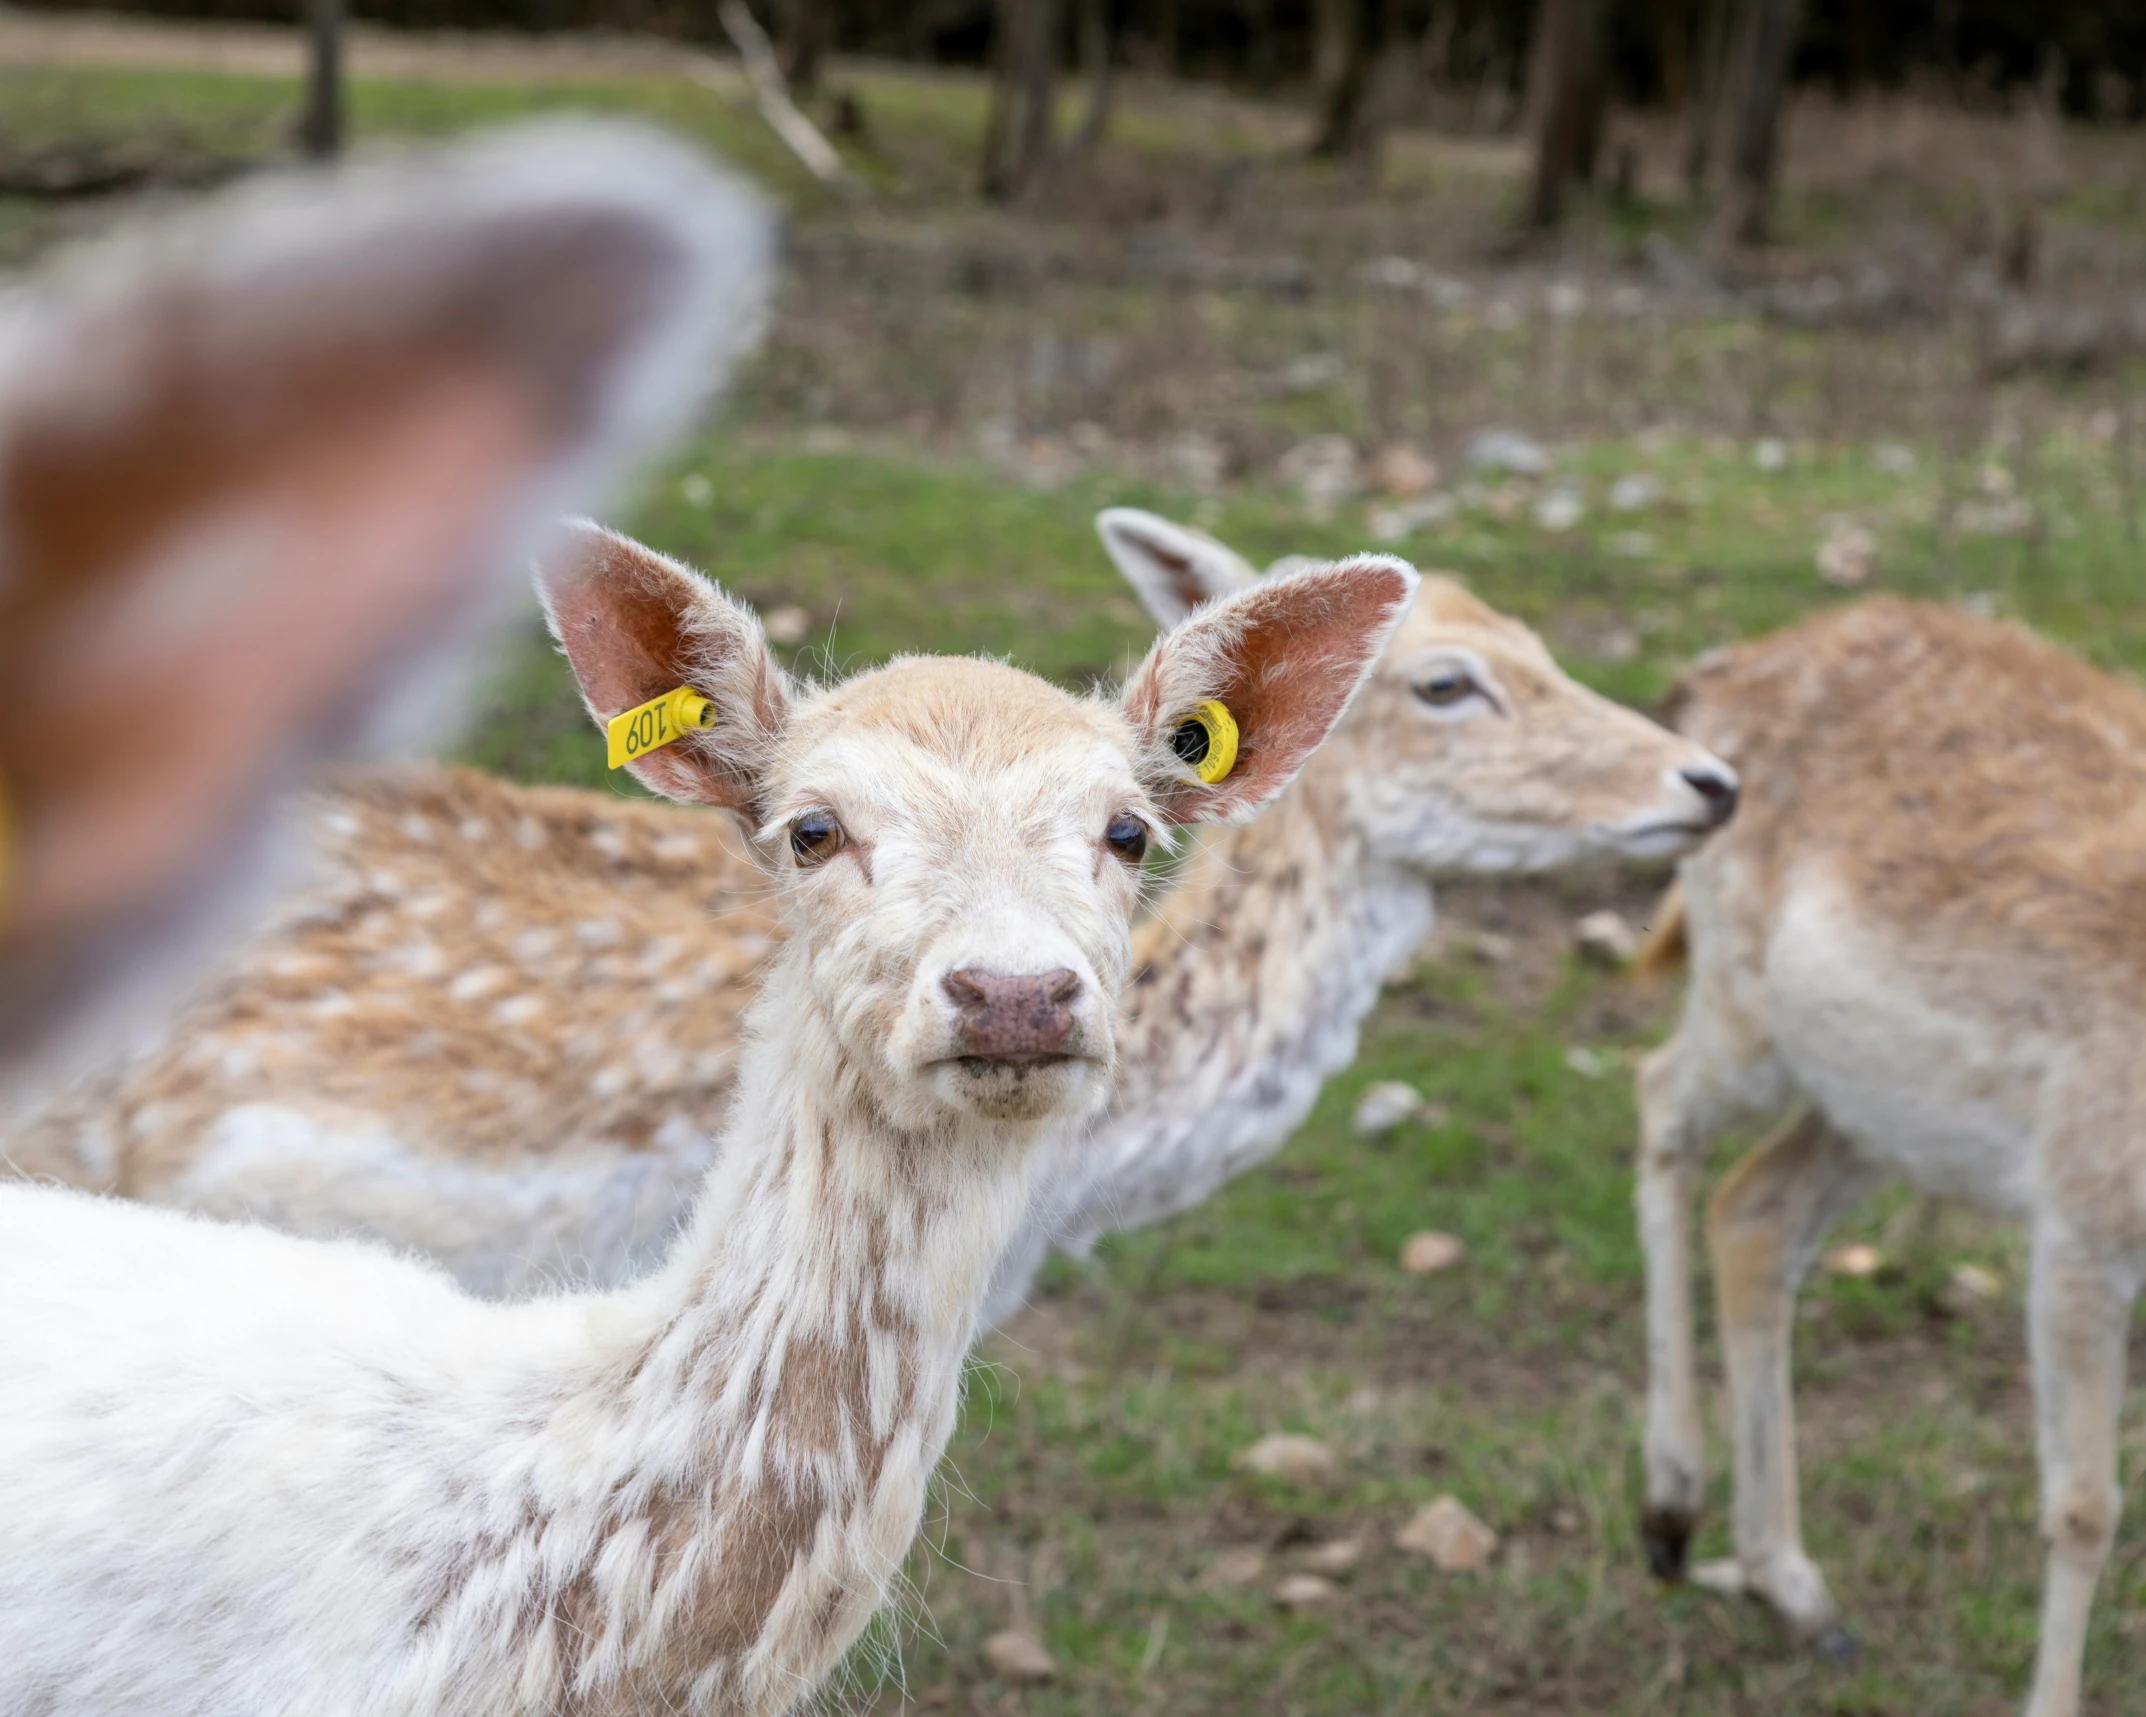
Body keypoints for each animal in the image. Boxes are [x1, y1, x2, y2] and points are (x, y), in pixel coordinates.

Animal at [1639, 592, 2146, 1717]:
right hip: (1745, 1014)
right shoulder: (2080, 1212)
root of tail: (1716, 675)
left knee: (1754, 1209)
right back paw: (1669, 1512)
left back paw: (1792, 1587)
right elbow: (2084, 1504)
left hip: (1878, 1106)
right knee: (1659, 1103)